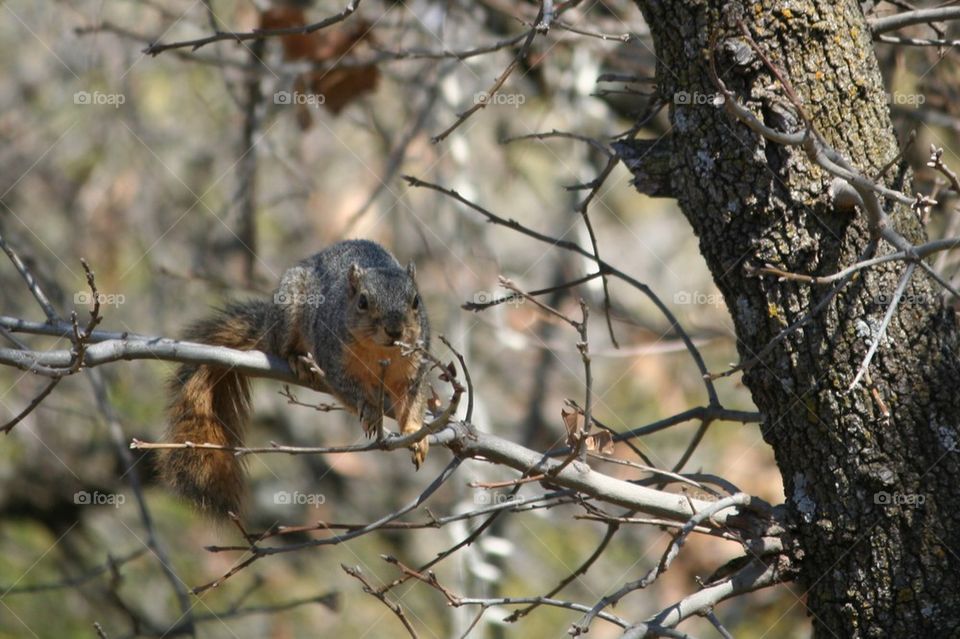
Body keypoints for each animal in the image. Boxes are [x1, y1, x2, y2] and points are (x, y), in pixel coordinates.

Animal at [159, 240, 430, 516]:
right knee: (281, 347)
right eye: (363, 302)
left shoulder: (415, 367)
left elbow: (414, 400)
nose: (394, 331)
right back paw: (297, 360)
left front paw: (416, 435)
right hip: (289, 312)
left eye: (416, 301)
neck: (381, 352)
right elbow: (347, 388)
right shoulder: (333, 360)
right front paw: (371, 410)